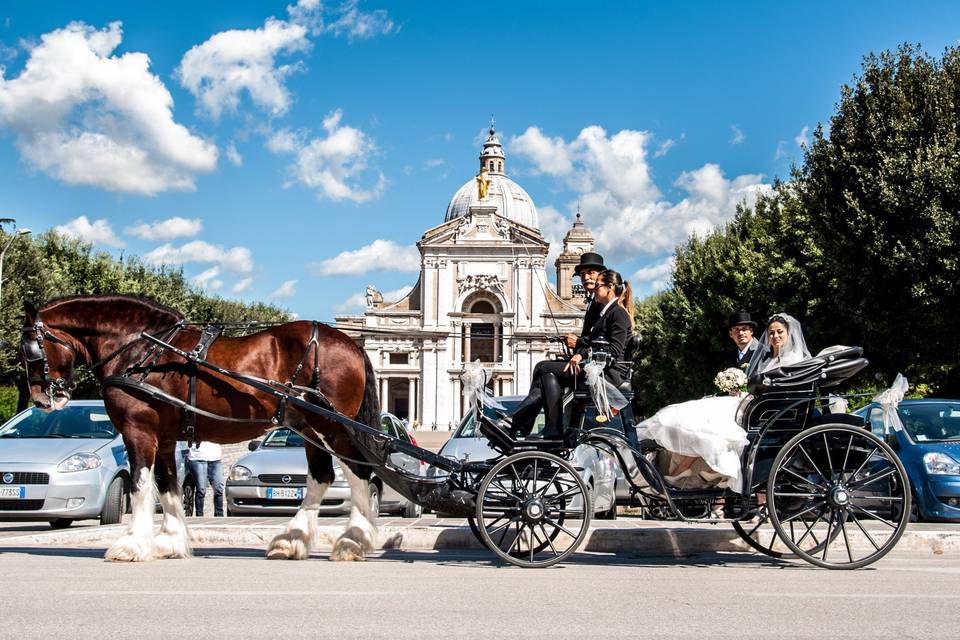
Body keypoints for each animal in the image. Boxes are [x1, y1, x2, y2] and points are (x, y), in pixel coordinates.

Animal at [18, 296, 378, 560]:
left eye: (31, 349)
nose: (42, 398)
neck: (141, 350)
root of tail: (352, 344)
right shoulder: (164, 437)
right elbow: (167, 486)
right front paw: (169, 542)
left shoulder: (138, 429)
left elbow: (139, 485)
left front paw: (131, 544)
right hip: (309, 427)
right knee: (323, 476)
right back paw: (293, 540)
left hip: (332, 426)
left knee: (359, 472)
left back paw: (352, 540)